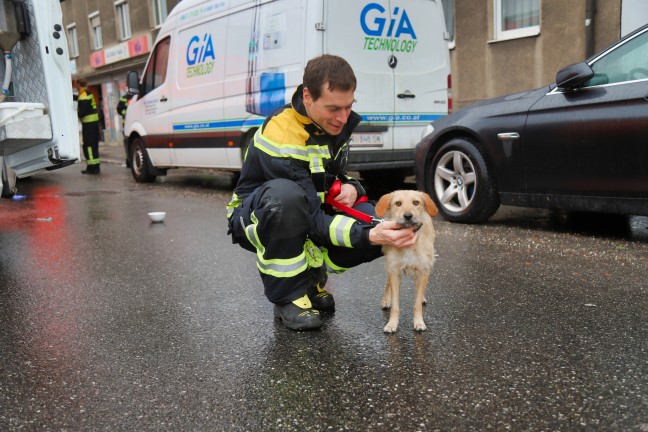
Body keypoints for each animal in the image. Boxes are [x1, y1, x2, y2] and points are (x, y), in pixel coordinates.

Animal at [372, 190, 438, 334]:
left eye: (416, 202)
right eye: (398, 203)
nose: (408, 216)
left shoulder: (423, 270)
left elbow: (417, 304)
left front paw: (419, 322)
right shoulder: (394, 271)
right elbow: (395, 305)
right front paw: (392, 324)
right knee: (387, 283)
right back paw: (386, 300)